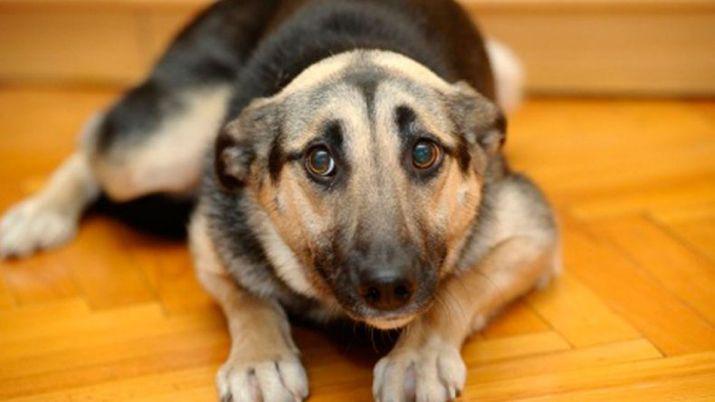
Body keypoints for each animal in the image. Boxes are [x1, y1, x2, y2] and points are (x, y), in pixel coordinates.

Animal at [0, 0, 560, 402]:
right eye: (319, 160)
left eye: (424, 152)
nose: (388, 288)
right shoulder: (209, 238)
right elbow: (248, 296)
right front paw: (260, 358)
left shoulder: (533, 236)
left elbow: (457, 287)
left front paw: (418, 355)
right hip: (158, 147)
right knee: (94, 137)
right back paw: (39, 213)